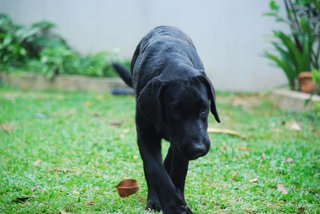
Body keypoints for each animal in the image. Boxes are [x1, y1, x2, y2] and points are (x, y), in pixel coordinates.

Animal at [112, 25, 220, 213]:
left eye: (204, 109)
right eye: (175, 112)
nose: (198, 149)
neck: (171, 61)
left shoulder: (182, 144)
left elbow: (178, 172)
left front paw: (179, 201)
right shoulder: (146, 136)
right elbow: (155, 170)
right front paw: (173, 206)